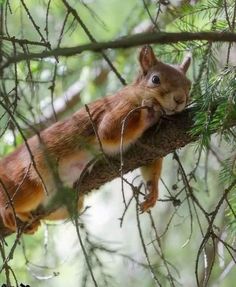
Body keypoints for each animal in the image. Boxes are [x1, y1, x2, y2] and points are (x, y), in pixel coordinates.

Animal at [0, 45, 192, 234]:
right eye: (155, 79)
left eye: (189, 85)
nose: (179, 99)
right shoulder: (119, 107)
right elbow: (108, 131)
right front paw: (149, 112)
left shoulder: (150, 143)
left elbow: (151, 166)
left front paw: (153, 192)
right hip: (27, 181)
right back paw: (7, 209)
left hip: (63, 201)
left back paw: (30, 223)